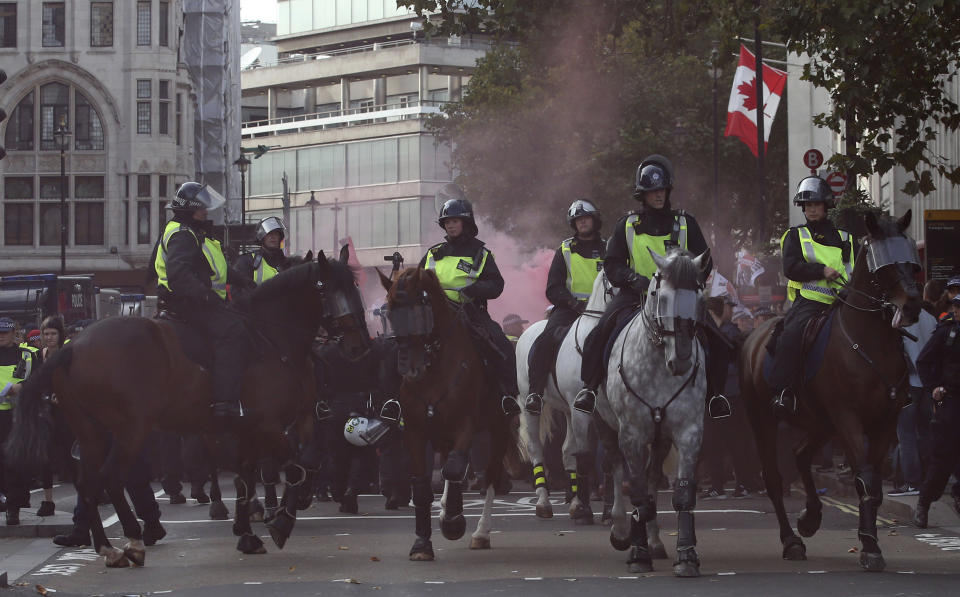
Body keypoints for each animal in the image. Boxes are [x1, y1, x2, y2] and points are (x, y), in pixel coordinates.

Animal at [9, 249, 370, 564]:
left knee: (89, 482)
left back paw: (107, 546)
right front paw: (281, 521)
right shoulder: (266, 424)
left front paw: (250, 532)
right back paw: (133, 541)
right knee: (110, 477)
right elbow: (296, 464)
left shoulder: (281, 422)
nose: (359, 346)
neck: (273, 340)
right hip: (131, 429)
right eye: (327, 290)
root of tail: (73, 347)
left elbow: (271, 469)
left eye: (356, 288)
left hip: (91, 431)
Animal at [376, 268, 524, 560]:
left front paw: (454, 522)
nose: (410, 369)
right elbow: (422, 484)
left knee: (488, 475)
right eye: (390, 313)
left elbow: (455, 469)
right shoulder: (415, 429)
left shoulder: (464, 424)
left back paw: (480, 532)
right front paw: (422, 543)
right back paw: (445, 507)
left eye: (420, 311)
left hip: (498, 429)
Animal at [744, 212, 924, 572]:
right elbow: (864, 478)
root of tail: (754, 336)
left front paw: (867, 539)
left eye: (912, 263)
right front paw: (870, 547)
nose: (912, 305)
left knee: (800, 454)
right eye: (884, 265)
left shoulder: (884, 422)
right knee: (773, 478)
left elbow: (874, 484)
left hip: (820, 422)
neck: (869, 341)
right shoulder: (848, 417)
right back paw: (791, 540)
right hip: (765, 419)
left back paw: (810, 517)